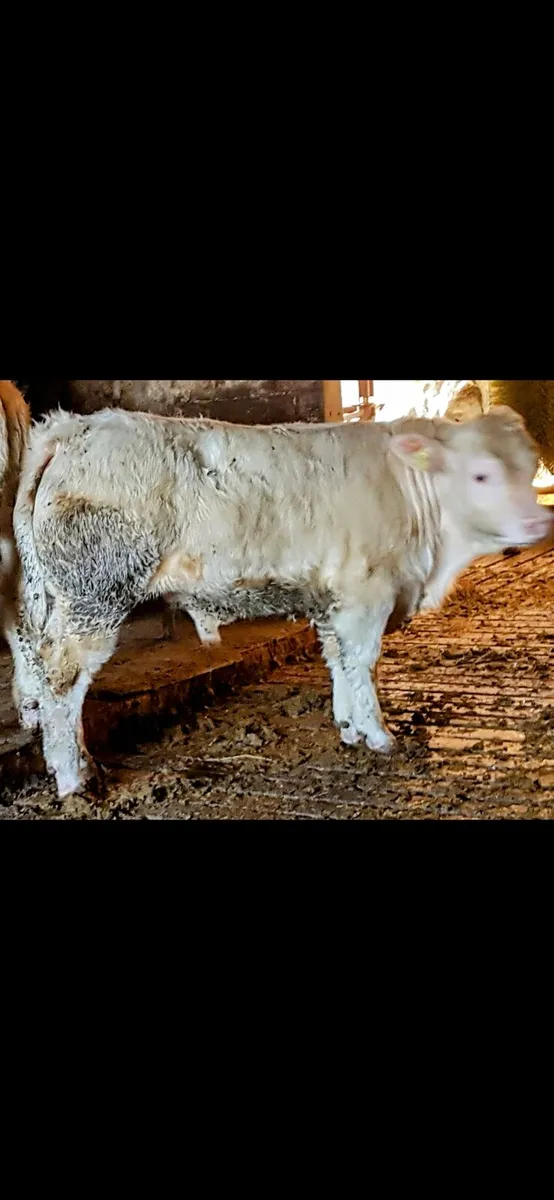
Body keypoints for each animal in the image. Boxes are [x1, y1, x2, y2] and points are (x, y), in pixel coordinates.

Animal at [10, 404, 553, 799]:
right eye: (482, 475)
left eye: (529, 468)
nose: (538, 523)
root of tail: (77, 426)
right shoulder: (367, 593)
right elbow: (363, 663)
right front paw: (379, 735)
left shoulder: (335, 602)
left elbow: (338, 661)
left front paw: (350, 728)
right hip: (95, 595)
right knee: (63, 679)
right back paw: (73, 776)